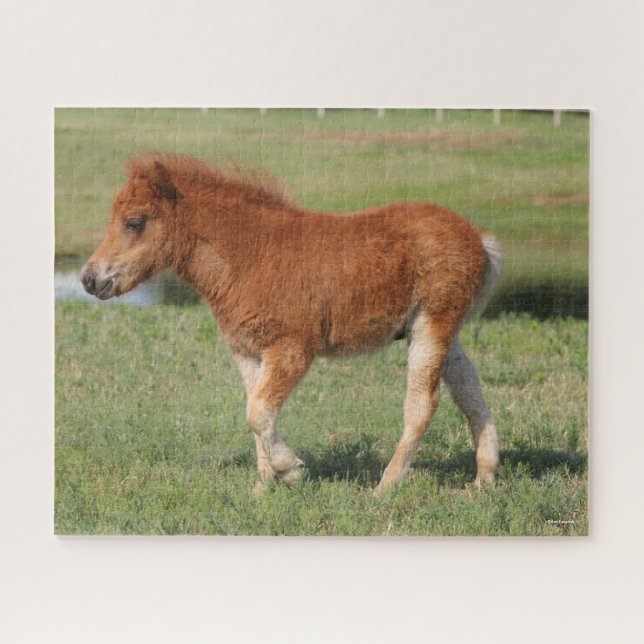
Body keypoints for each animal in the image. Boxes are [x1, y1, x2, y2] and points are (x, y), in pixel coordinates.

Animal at [81, 153, 503, 494]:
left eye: (134, 222)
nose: (89, 279)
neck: (251, 255)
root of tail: (478, 238)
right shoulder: (248, 352)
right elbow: (255, 411)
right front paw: (264, 487)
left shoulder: (293, 348)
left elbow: (258, 412)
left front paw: (290, 470)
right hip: (439, 330)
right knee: (470, 391)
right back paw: (484, 478)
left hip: (432, 324)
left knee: (422, 404)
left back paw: (386, 486)